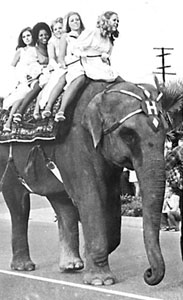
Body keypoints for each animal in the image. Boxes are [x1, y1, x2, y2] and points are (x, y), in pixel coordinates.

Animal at [0, 79, 179, 286]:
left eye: (165, 134)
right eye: (128, 135)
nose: (148, 273)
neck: (103, 91)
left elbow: (110, 201)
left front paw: (89, 258)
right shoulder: (76, 143)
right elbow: (91, 198)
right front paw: (101, 281)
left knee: (61, 204)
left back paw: (71, 266)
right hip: (8, 164)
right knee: (18, 205)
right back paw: (24, 267)